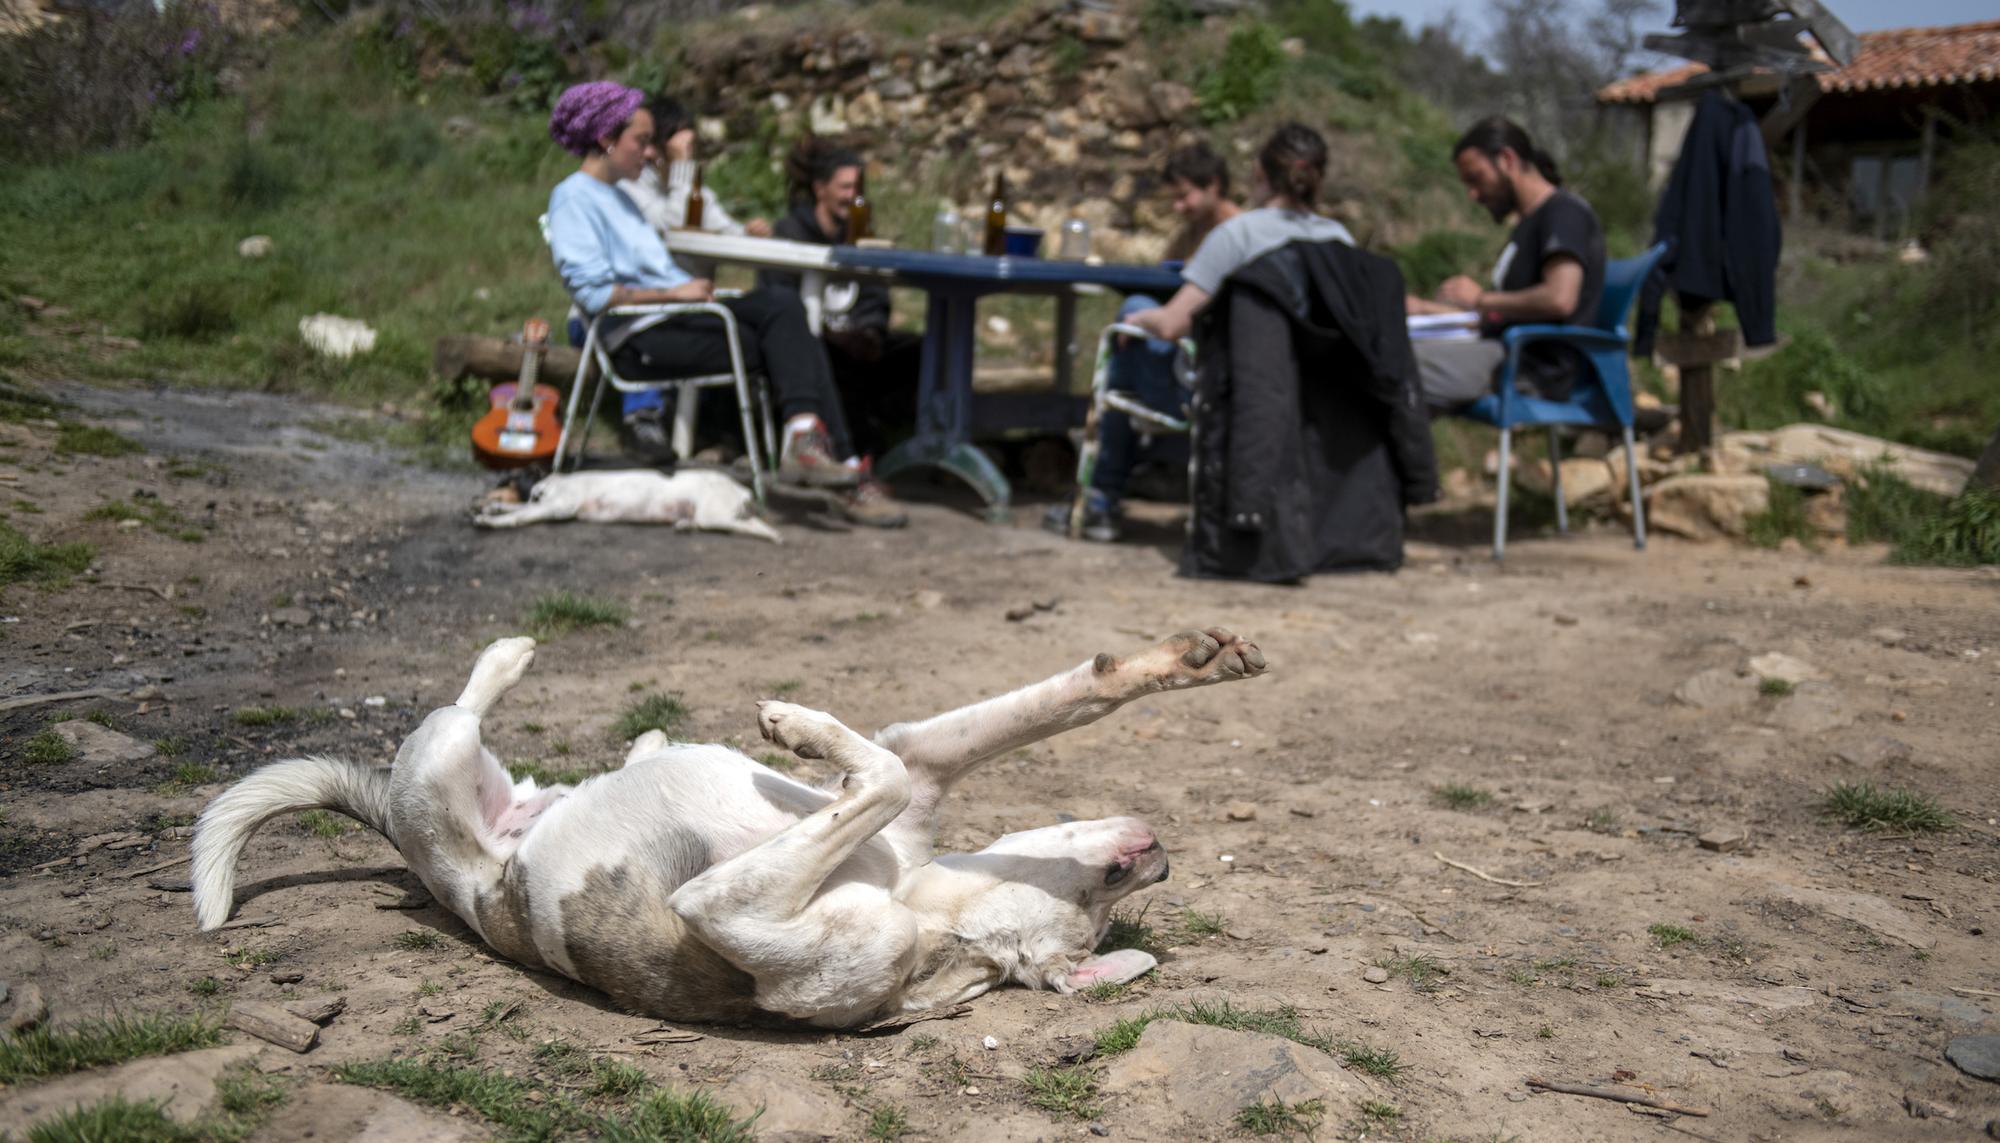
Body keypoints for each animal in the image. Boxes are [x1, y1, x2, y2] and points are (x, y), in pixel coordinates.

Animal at [195, 631, 1272, 1031]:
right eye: (1106, 887)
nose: (1157, 856)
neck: (920, 908)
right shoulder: (922, 760)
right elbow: (1076, 695)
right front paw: (1190, 659)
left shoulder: (729, 905)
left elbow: (873, 778)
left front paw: (794, 725)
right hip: (460, 761)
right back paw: (601, 710)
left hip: (434, 765)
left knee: (456, 707)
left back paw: (513, 661)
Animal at [472, 471, 776, 547]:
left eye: (502, 480)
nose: (475, 499)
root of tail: (741, 488)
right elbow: (514, 506)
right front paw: (494, 508)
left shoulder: (558, 507)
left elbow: (517, 515)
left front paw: (490, 520)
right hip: (709, 514)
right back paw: (683, 525)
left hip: (714, 514)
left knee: (748, 526)